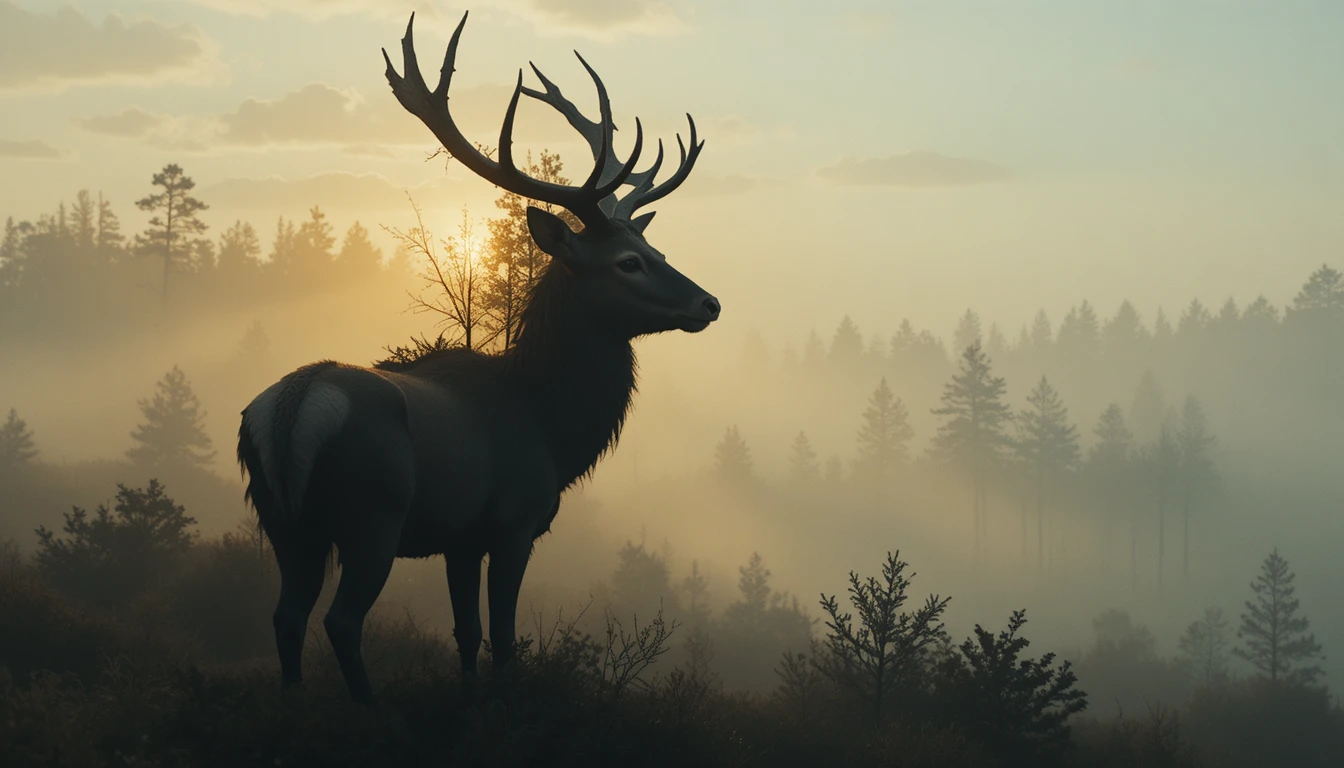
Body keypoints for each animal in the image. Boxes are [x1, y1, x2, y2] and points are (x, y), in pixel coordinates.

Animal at [236, 11, 719, 706]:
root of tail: (289, 411)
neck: (552, 427)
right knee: (340, 619)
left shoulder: (460, 540)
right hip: (373, 514)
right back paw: (367, 707)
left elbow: (466, 636)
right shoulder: (513, 524)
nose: (708, 302)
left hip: (284, 521)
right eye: (629, 262)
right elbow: (505, 641)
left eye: (656, 250)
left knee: (285, 616)